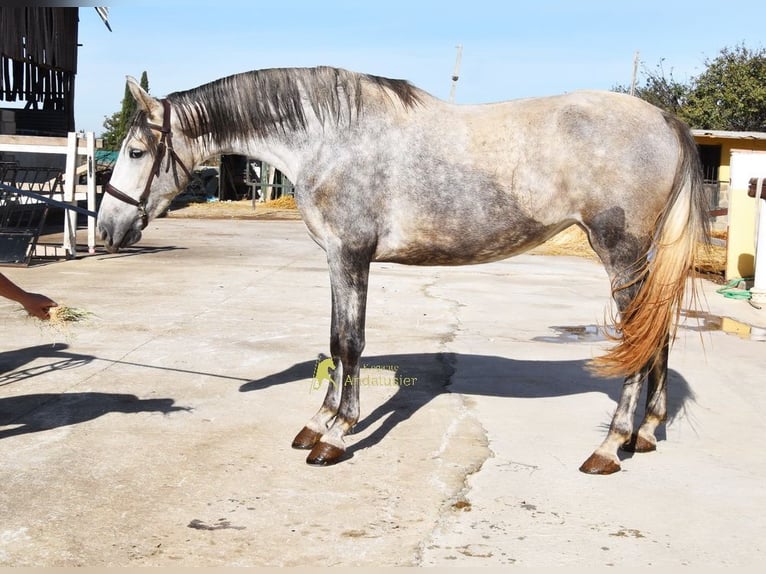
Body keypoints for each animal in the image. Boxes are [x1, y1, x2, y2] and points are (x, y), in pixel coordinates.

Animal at [97, 66, 709, 474]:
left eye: (134, 152)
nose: (105, 230)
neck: (331, 139)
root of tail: (664, 119)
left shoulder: (350, 254)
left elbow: (350, 343)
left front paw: (337, 436)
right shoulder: (336, 259)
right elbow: (336, 340)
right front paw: (317, 423)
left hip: (621, 252)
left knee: (638, 339)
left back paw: (609, 447)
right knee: (655, 335)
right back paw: (644, 434)